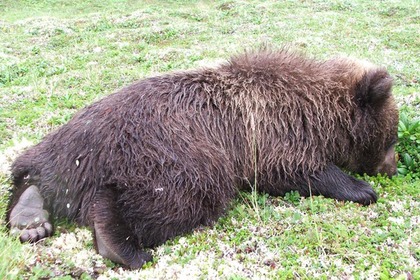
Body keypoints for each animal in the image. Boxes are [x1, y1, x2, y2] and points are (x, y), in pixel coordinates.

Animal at [7, 48, 400, 270]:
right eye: (392, 136)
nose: (393, 167)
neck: (314, 110)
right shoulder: (267, 130)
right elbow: (295, 169)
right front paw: (361, 188)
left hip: (63, 150)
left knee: (32, 172)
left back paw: (31, 218)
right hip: (172, 154)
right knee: (183, 198)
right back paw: (119, 244)